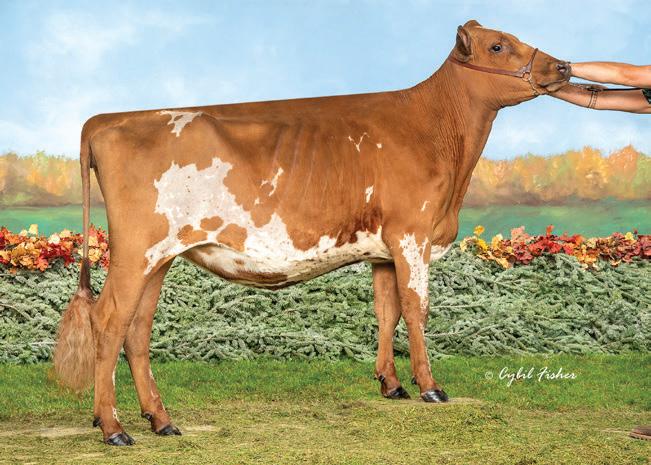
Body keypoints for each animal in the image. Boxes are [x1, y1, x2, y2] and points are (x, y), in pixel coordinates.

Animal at [53, 20, 570, 445]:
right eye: (498, 45)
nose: (562, 65)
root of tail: (111, 119)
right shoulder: (413, 236)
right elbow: (416, 310)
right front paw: (430, 388)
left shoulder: (383, 250)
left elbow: (387, 312)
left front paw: (392, 385)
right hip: (136, 251)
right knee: (109, 321)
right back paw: (113, 427)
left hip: (159, 257)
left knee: (137, 329)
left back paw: (160, 420)